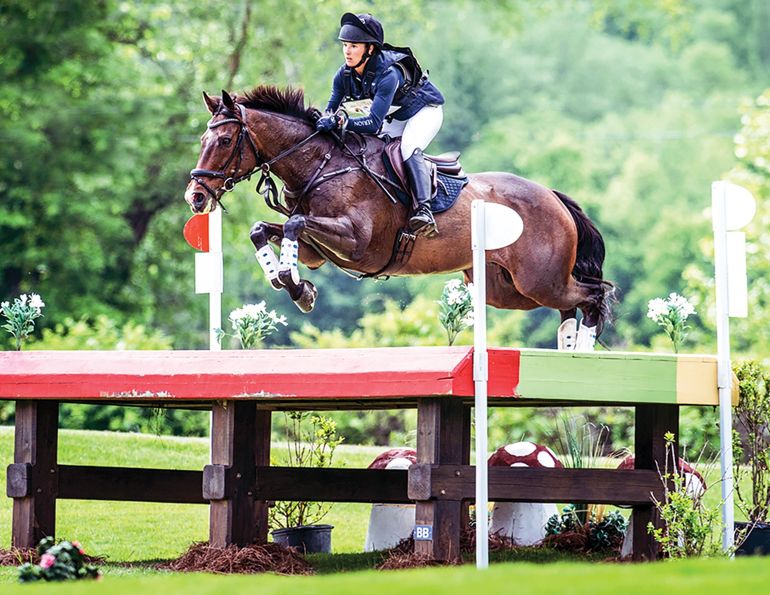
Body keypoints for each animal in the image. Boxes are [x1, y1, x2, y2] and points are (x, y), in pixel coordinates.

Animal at [184, 86, 614, 350]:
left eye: (225, 140)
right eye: (202, 140)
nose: (195, 196)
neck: (322, 165)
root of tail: (554, 197)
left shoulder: (355, 243)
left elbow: (293, 223)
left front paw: (293, 284)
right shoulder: (316, 252)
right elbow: (264, 230)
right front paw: (292, 284)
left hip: (540, 279)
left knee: (593, 295)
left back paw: (585, 352)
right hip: (508, 289)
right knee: (569, 307)